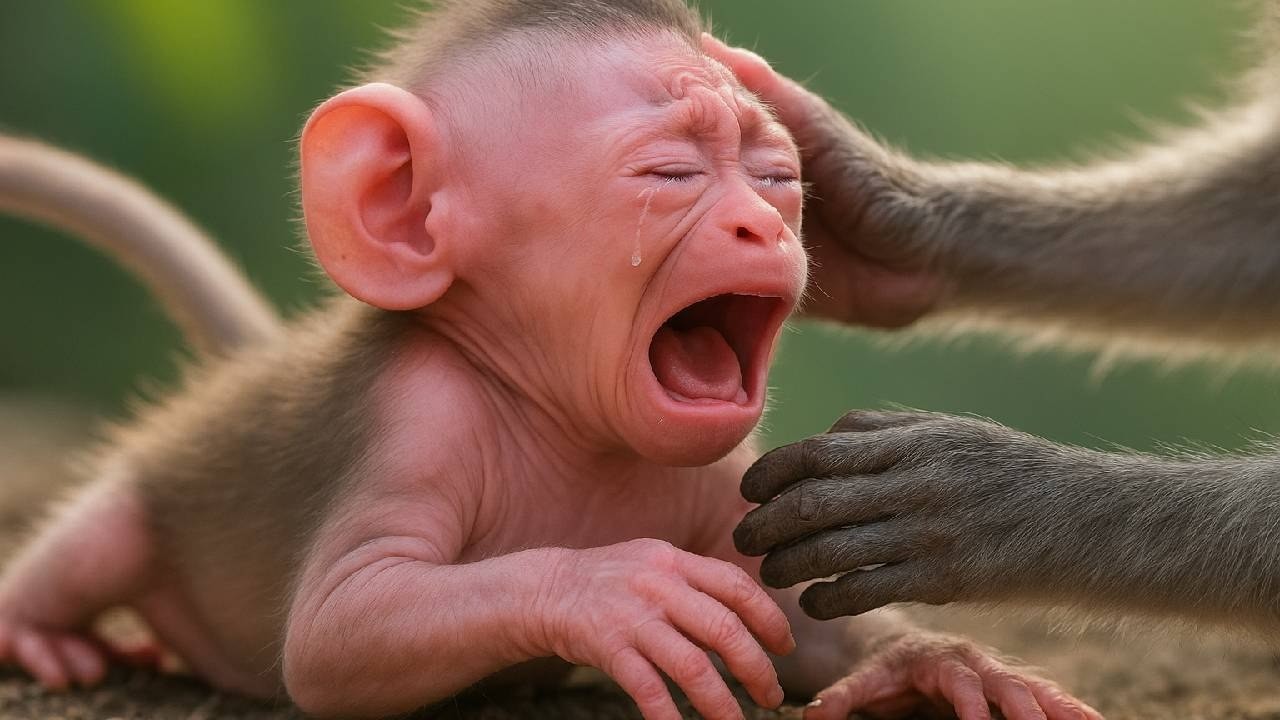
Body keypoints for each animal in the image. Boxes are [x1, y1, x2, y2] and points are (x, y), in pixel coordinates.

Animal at [0, 2, 1105, 720]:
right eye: (667, 173)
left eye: (775, 178)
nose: (760, 227)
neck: (566, 420)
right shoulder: (417, 418)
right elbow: (334, 632)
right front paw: (613, 591)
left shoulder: (721, 468)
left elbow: (800, 616)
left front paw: (929, 662)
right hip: (148, 499)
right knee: (99, 540)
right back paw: (40, 629)